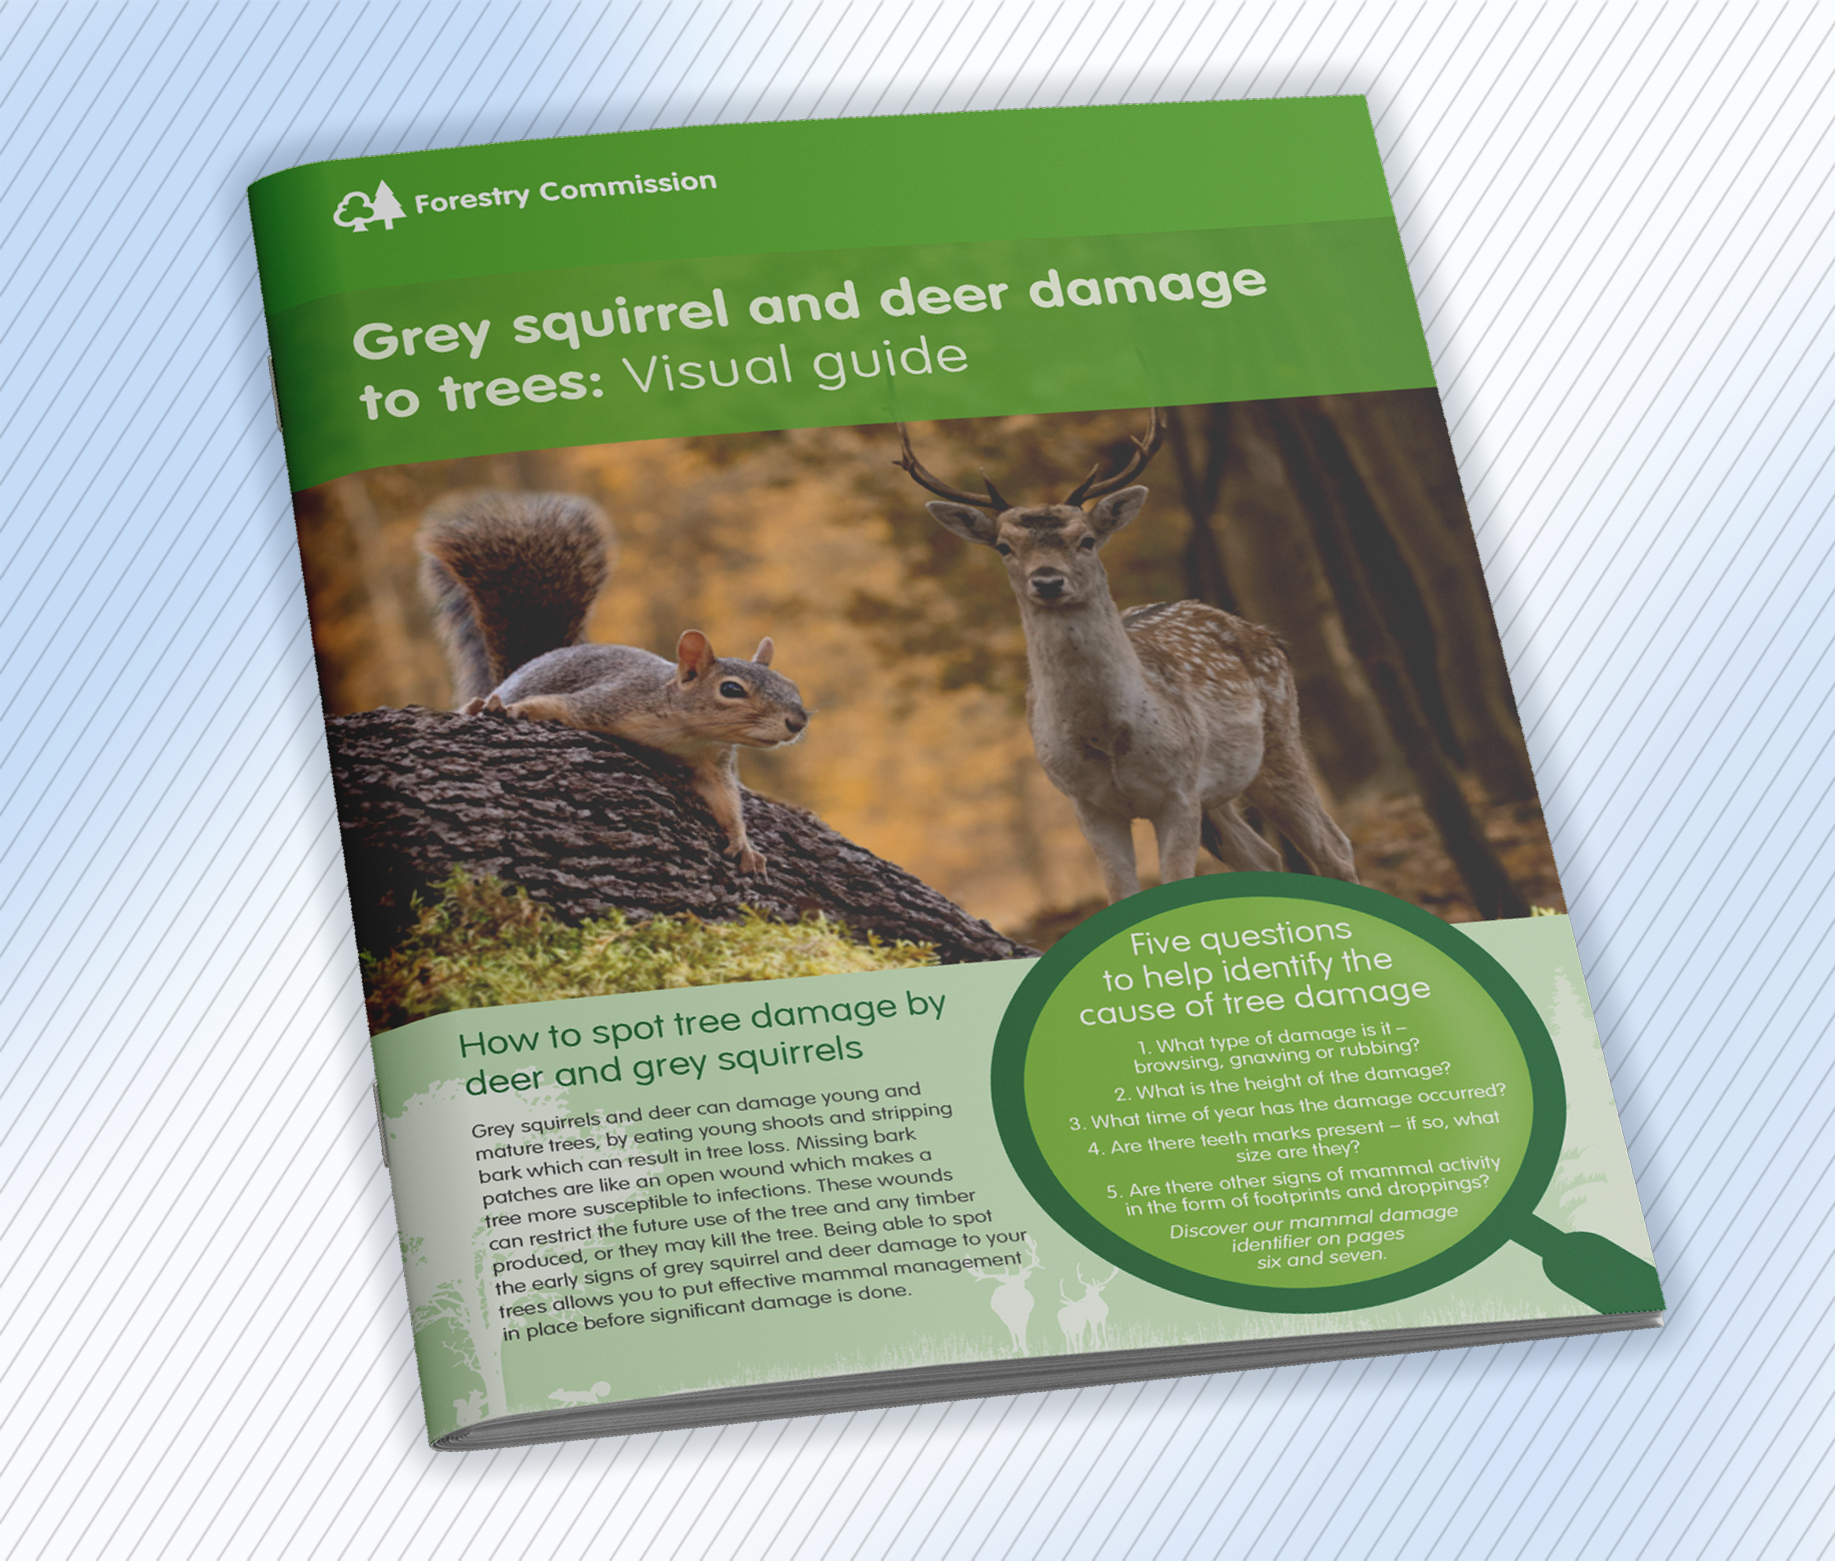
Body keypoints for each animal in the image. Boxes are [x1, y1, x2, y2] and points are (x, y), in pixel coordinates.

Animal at [419, 490, 809, 874]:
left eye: (791, 685)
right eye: (731, 689)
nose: (798, 721)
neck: (686, 733)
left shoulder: (714, 762)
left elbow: (726, 802)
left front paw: (743, 843)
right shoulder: (613, 700)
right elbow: (557, 705)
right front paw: (512, 709)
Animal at [897, 411, 1356, 900]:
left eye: (1086, 539)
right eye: (1004, 546)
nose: (1047, 580)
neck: (1107, 737)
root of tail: (1267, 635)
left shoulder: (1178, 791)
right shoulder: (1088, 805)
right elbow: (1121, 892)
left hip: (1280, 740)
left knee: (1334, 847)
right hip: (1218, 795)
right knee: (1264, 857)